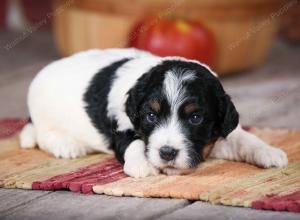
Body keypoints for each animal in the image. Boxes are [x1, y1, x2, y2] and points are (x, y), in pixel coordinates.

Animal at [19, 48, 288, 177]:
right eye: (151, 116)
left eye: (195, 118)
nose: (167, 153)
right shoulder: (122, 124)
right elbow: (135, 142)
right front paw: (142, 165)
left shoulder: (216, 134)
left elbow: (244, 138)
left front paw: (270, 152)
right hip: (44, 116)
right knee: (42, 135)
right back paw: (66, 145)